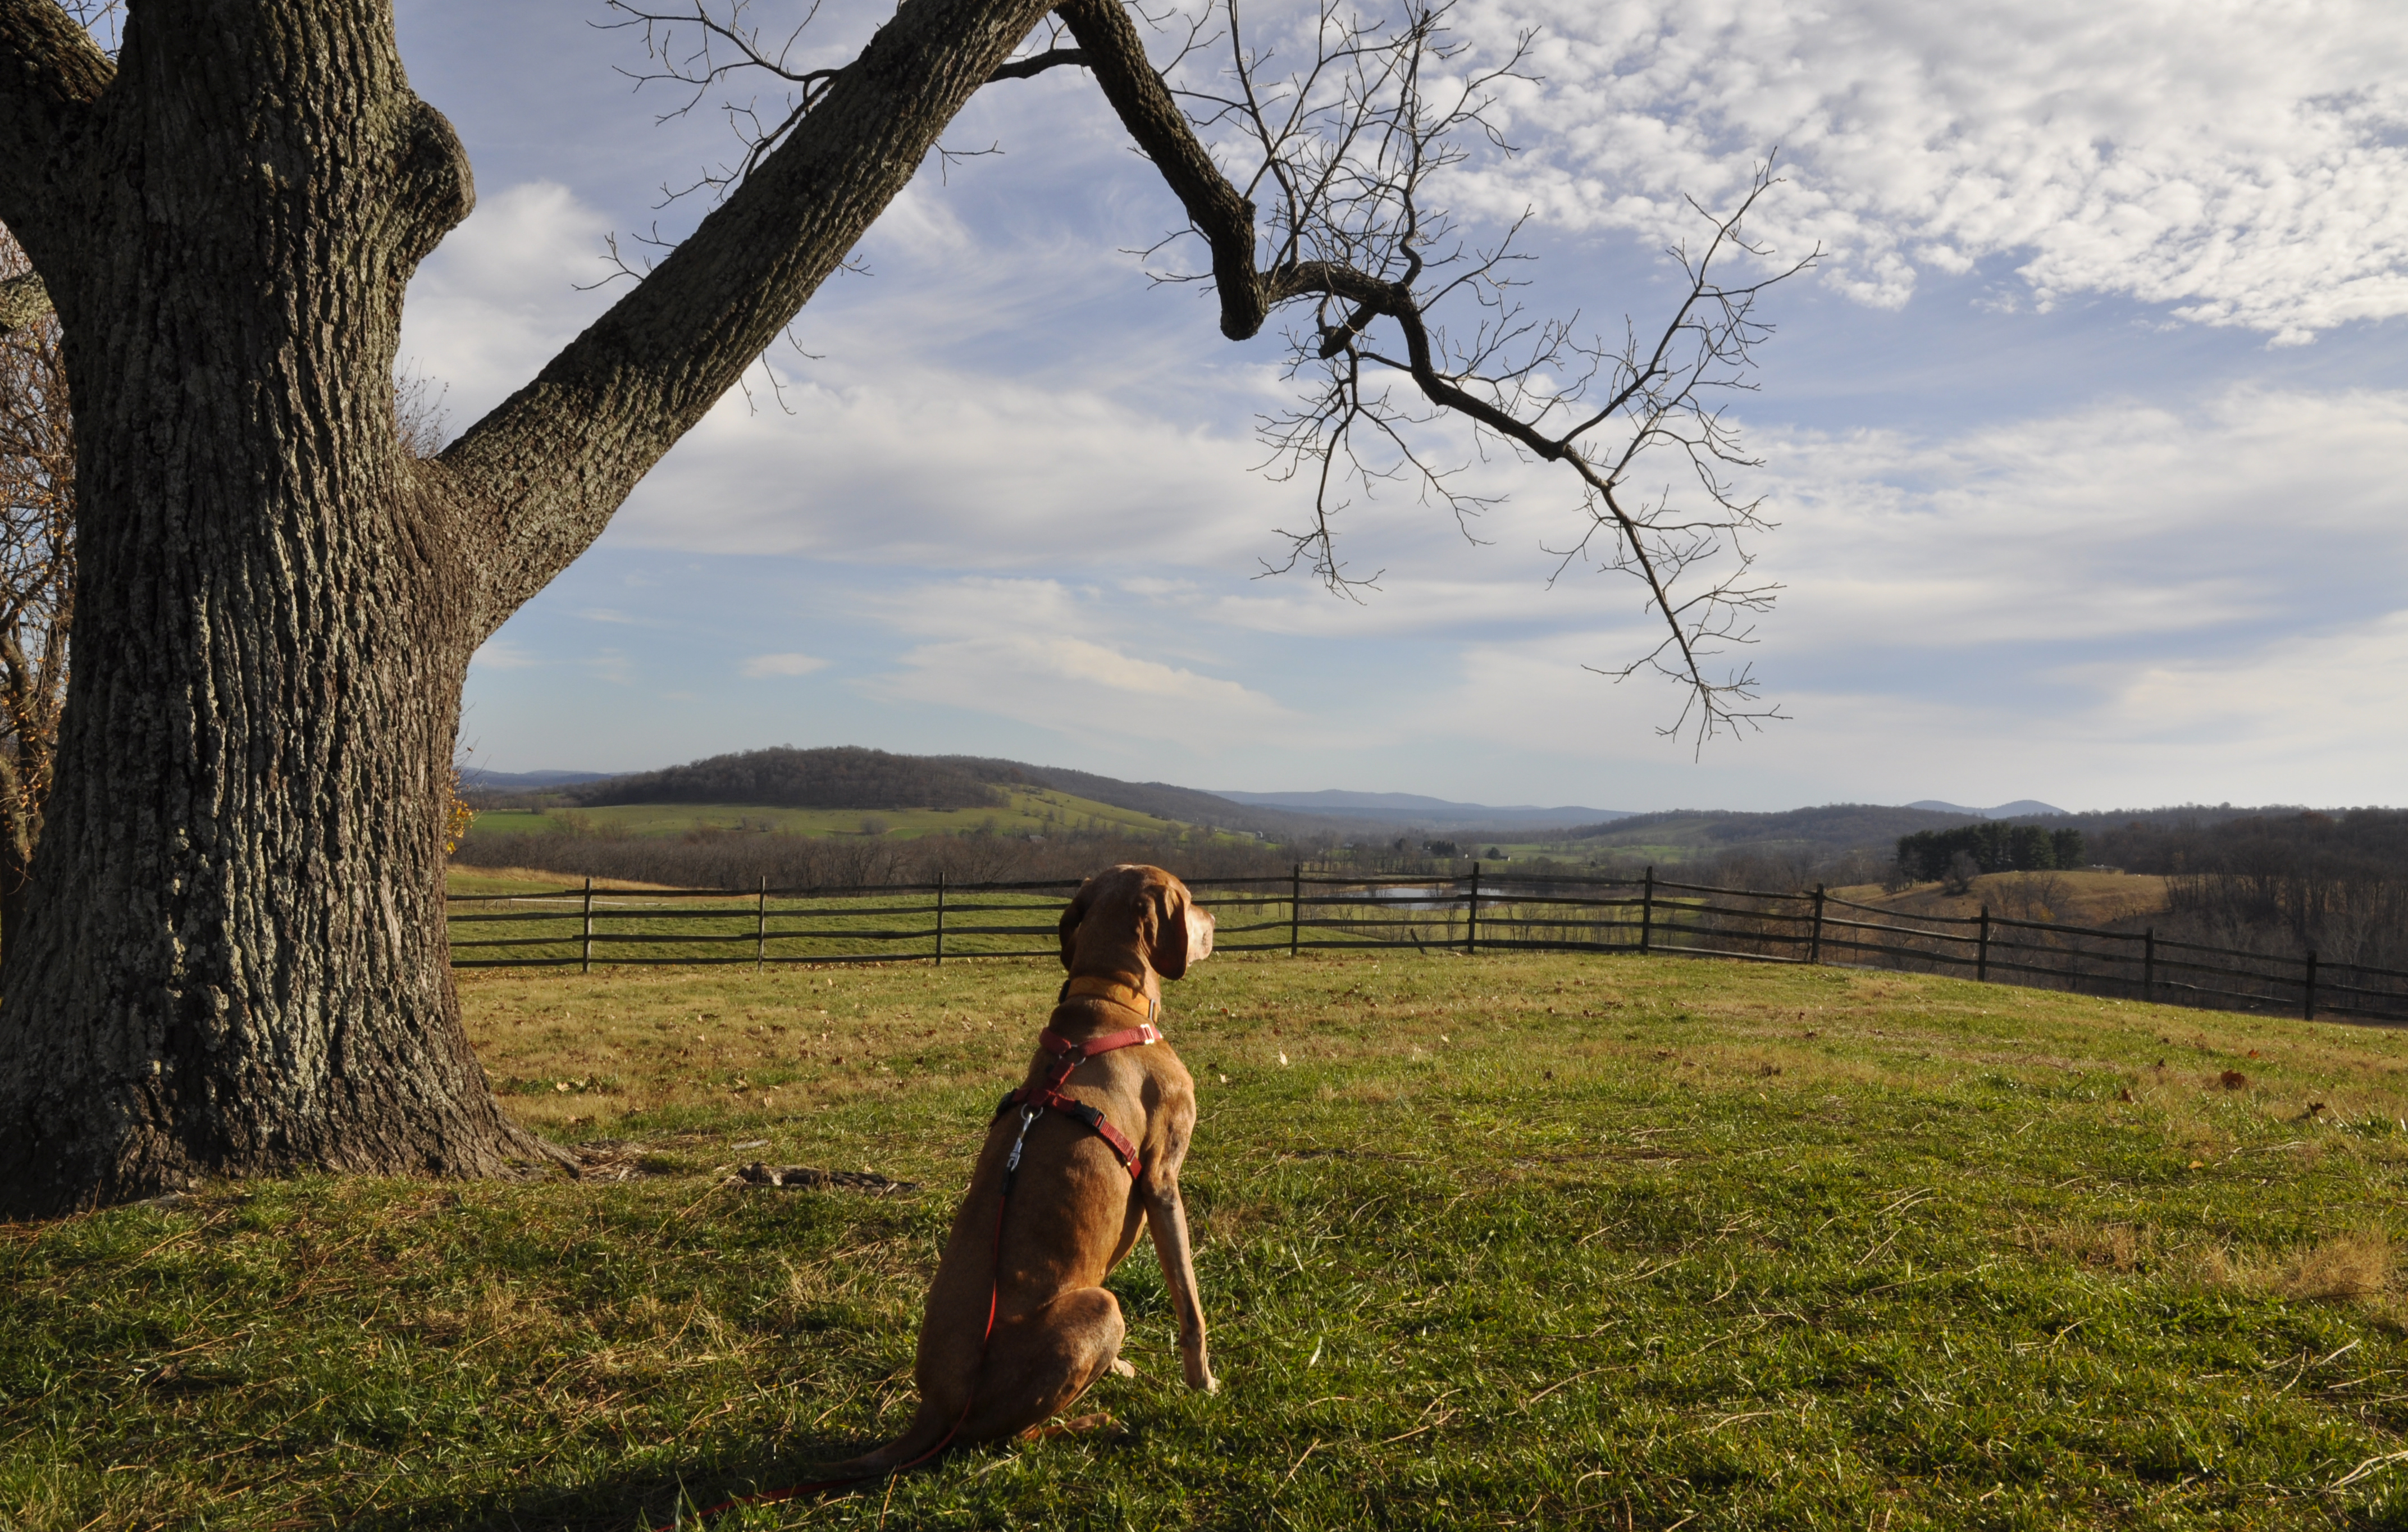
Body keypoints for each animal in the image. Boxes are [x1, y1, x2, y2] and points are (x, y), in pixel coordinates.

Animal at [847, 862, 1223, 1474]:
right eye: (1190, 901)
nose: (1216, 919)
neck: (1110, 1001)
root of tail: (934, 1409)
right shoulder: (1163, 1181)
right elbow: (1190, 1307)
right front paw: (1203, 1383)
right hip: (1101, 1307)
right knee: (1011, 1438)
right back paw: (1091, 1423)